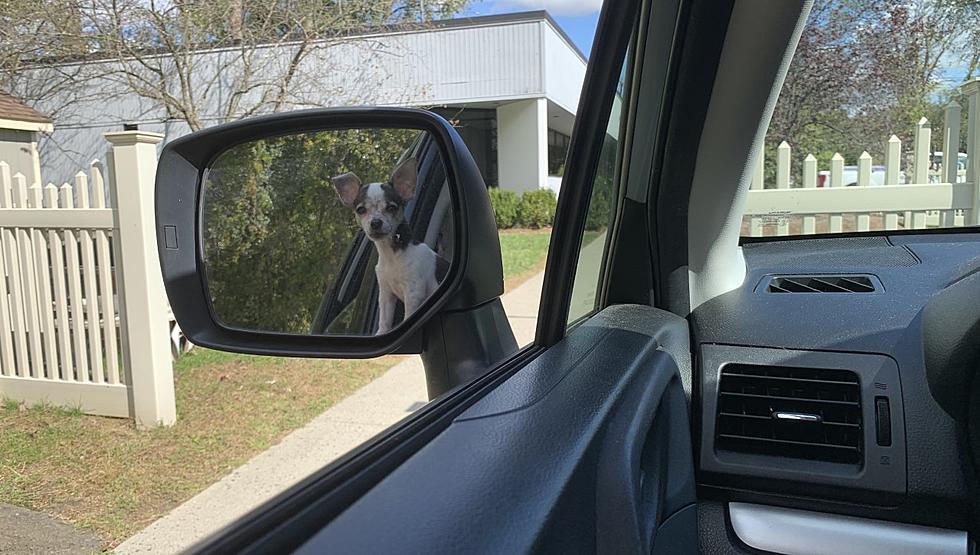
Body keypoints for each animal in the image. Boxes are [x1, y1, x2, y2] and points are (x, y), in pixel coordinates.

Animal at [334, 156, 446, 334]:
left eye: (392, 207)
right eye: (361, 210)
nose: (376, 222)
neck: (392, 254)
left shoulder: (413, 293)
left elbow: (408, 316)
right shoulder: (386, 294)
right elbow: (384, 321)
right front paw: (381, 333)